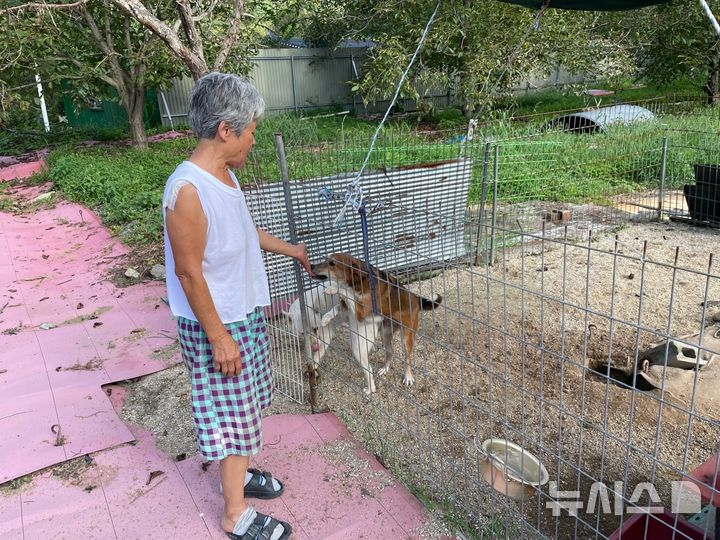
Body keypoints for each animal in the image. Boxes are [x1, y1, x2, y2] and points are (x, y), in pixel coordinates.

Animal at [312, 251, 442, 390]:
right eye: (325, 259)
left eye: (332, 263)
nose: (312, 265)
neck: (358, 281)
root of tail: (417, 299)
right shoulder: (349, 307)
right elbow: (337, 306)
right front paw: (326, 318)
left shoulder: (361, 312)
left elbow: (345, 292)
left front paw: (332, 288)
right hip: (385, 333)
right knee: (390, 351)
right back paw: (385, 369)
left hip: (407, 336)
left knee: (408, 358)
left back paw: (408, 376)